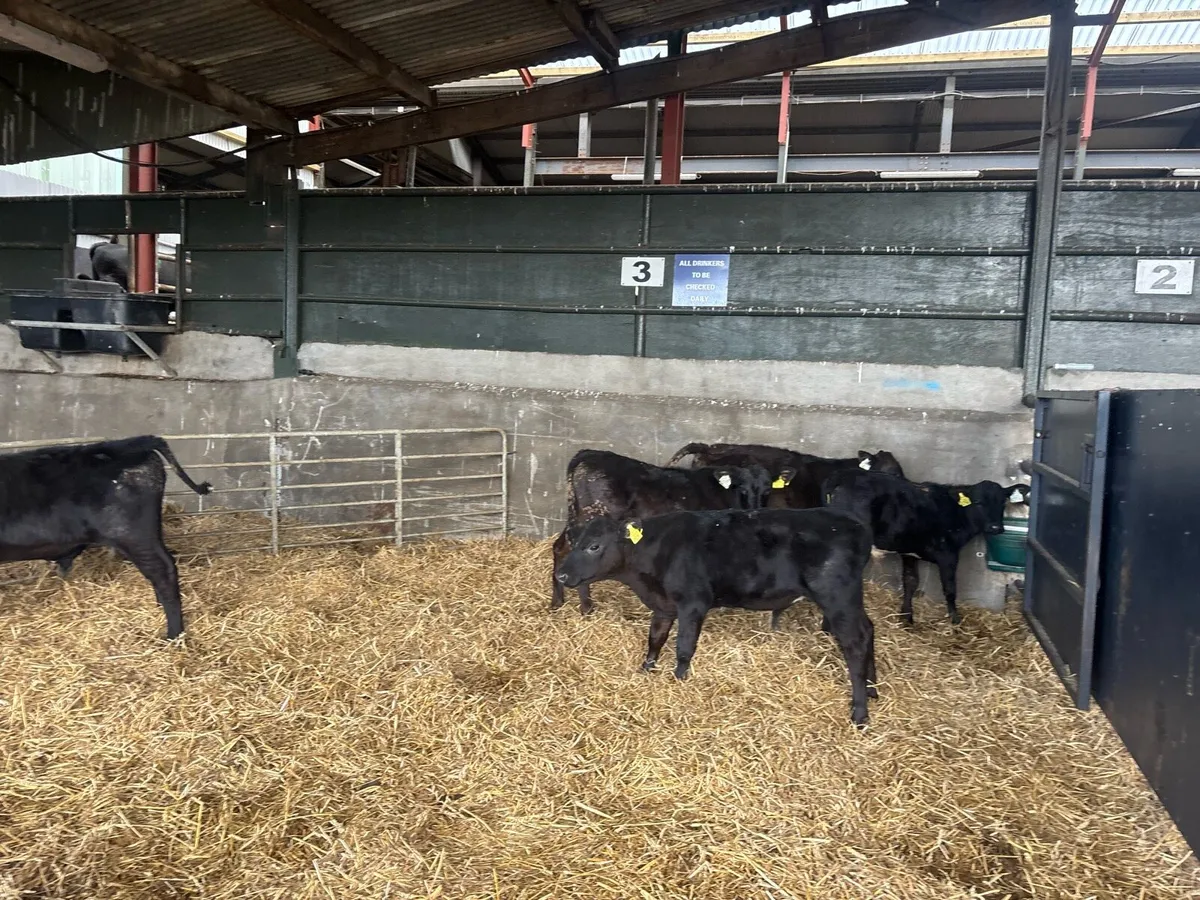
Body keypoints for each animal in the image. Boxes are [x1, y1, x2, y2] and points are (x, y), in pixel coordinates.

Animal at [550, 449, 773, 616]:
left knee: (560, 547)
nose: (756, 509)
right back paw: (586, 607)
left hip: (575, 518)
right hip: (592, 517)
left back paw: (557, 602)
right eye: (742, 489)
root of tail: (586, 454)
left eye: (767, 491)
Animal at [555, 508, 878, 726]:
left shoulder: (693, 604)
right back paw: (872, 689)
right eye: (575, 540)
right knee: (869, 630)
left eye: (594, 546)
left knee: (856, 641)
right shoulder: (663, 606)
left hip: (837, 597)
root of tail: (856, 526)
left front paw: (679, 680)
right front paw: (645, 672)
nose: (561, 574)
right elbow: (655, 639)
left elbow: (684, 648)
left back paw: (860, 711)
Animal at [822, 470, 1030, 626]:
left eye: (1002, 502)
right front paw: (955, 621)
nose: (995, 528)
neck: (956, 513)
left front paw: (906, 618)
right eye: (978, 502)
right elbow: (950, 588)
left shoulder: (909, 552)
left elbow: (910, 583)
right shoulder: (948, 554)